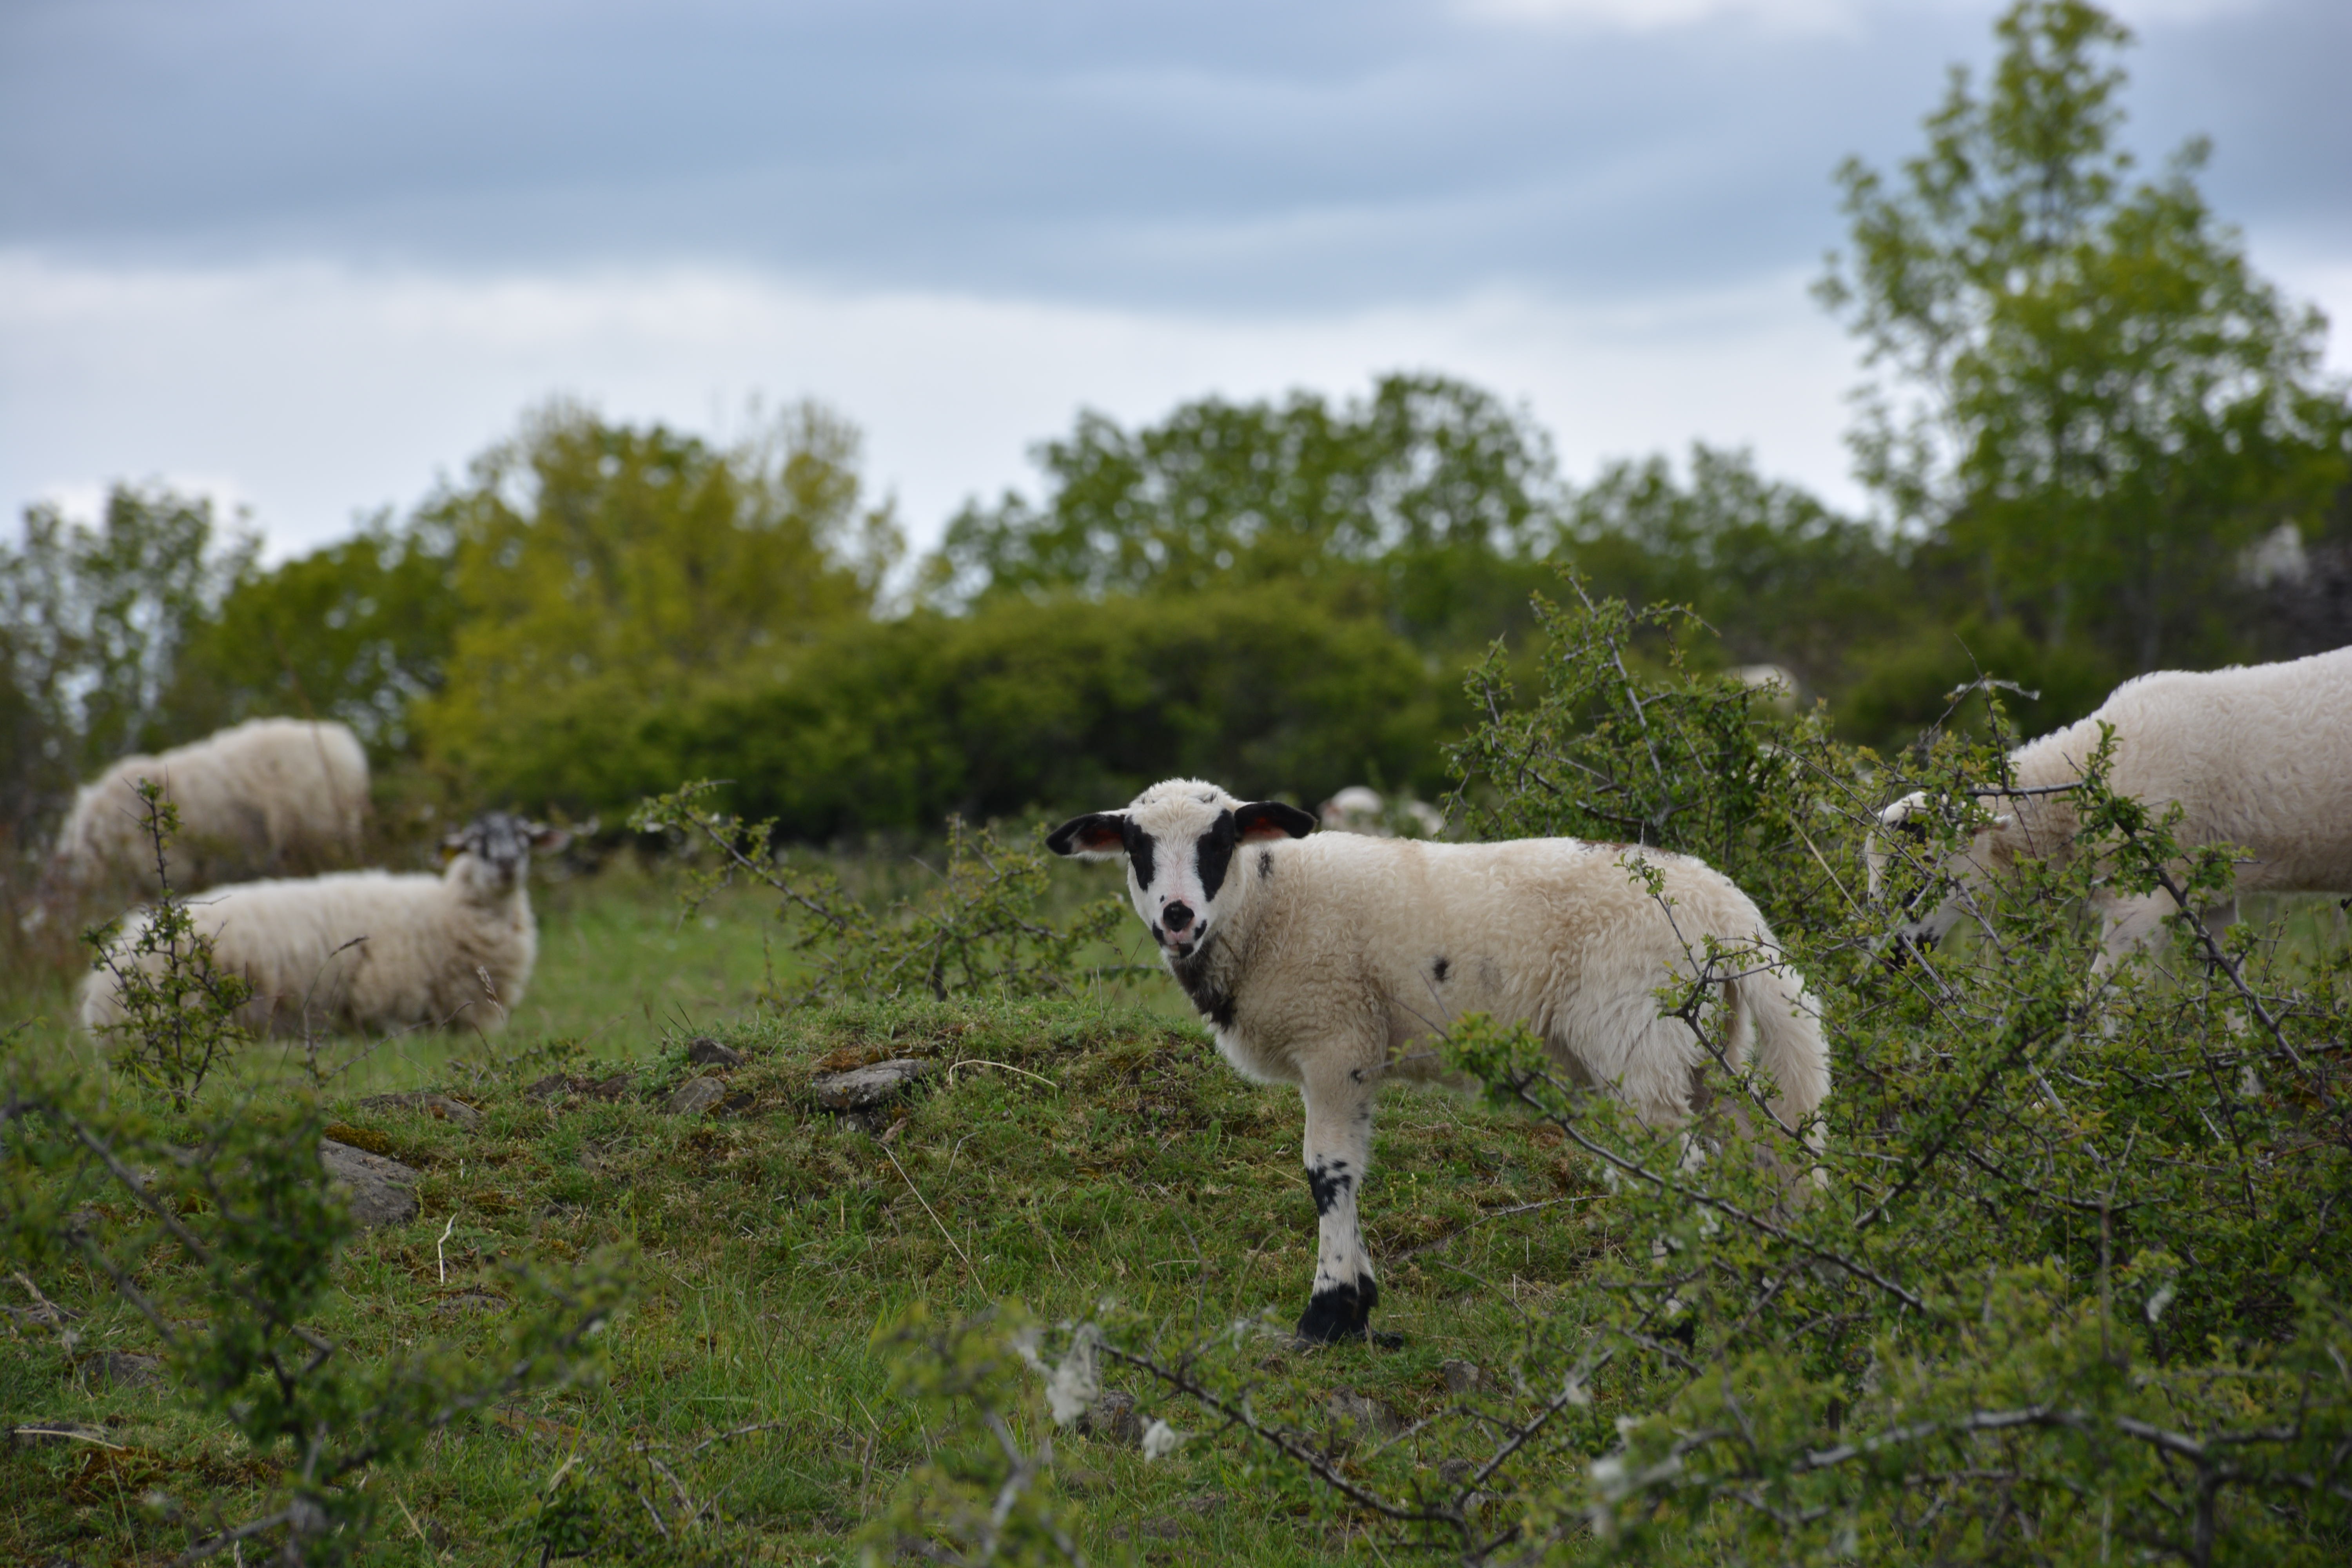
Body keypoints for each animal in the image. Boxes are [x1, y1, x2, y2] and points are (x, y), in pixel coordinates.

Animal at [1054, 780, 1835, 1345]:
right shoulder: (1356, 1052)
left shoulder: (1336, 1036)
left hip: (1639, 1036)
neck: (1268, 904)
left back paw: (1675, 1317)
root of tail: (1729, 911)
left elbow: (1327, 1173)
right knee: (1754, 1160)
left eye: (1219, 841)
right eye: (1136, 847)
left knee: (1682, 1174)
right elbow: (1350, 1168)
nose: (1177, 916)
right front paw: (1358, 1306)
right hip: (1708, 1050)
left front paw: (1328, 1316)